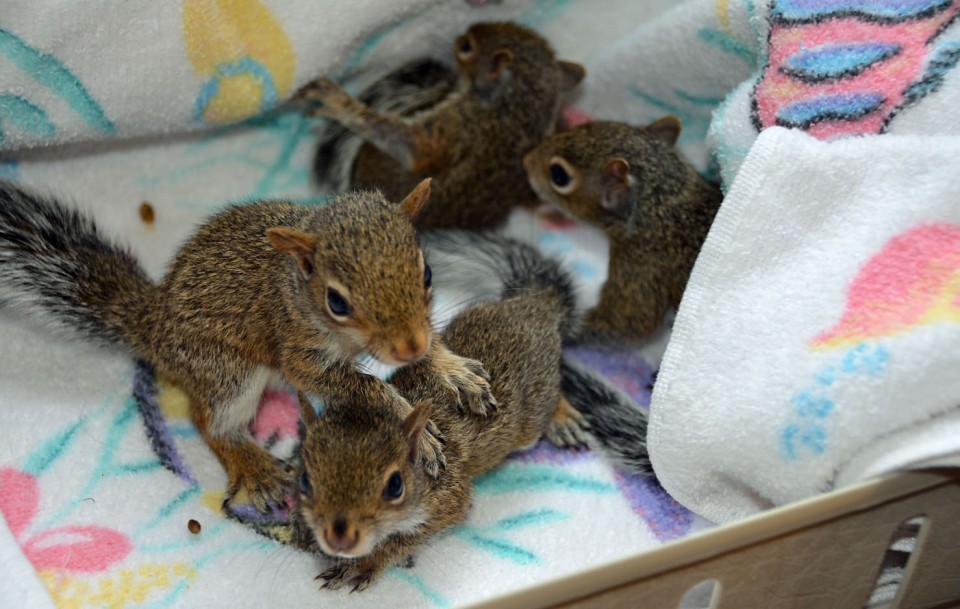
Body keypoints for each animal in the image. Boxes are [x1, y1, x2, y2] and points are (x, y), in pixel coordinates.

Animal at [0, 179, 496, 512]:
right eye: (337, 301)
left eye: (426, 272)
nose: (409, 348)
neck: (295, 290)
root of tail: (156, 326)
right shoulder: (296, 350)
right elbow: (362, 386)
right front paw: (414, 426)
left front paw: (452, 371)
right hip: (228, 372)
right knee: (209, 422)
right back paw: (253, 467)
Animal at [292, 232, 652, 588]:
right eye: (305, 481)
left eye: (395, 487)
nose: (337, 539)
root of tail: (533, 306)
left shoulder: (448, 498)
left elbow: (409, 537)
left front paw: (366, 563)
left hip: (533, 415)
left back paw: (562, 418)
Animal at [294, 22, 584, 230]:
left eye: (467, 46)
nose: (457, 37)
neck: (521, 111)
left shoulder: (457, 125)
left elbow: (409, 145)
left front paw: (340, 103)